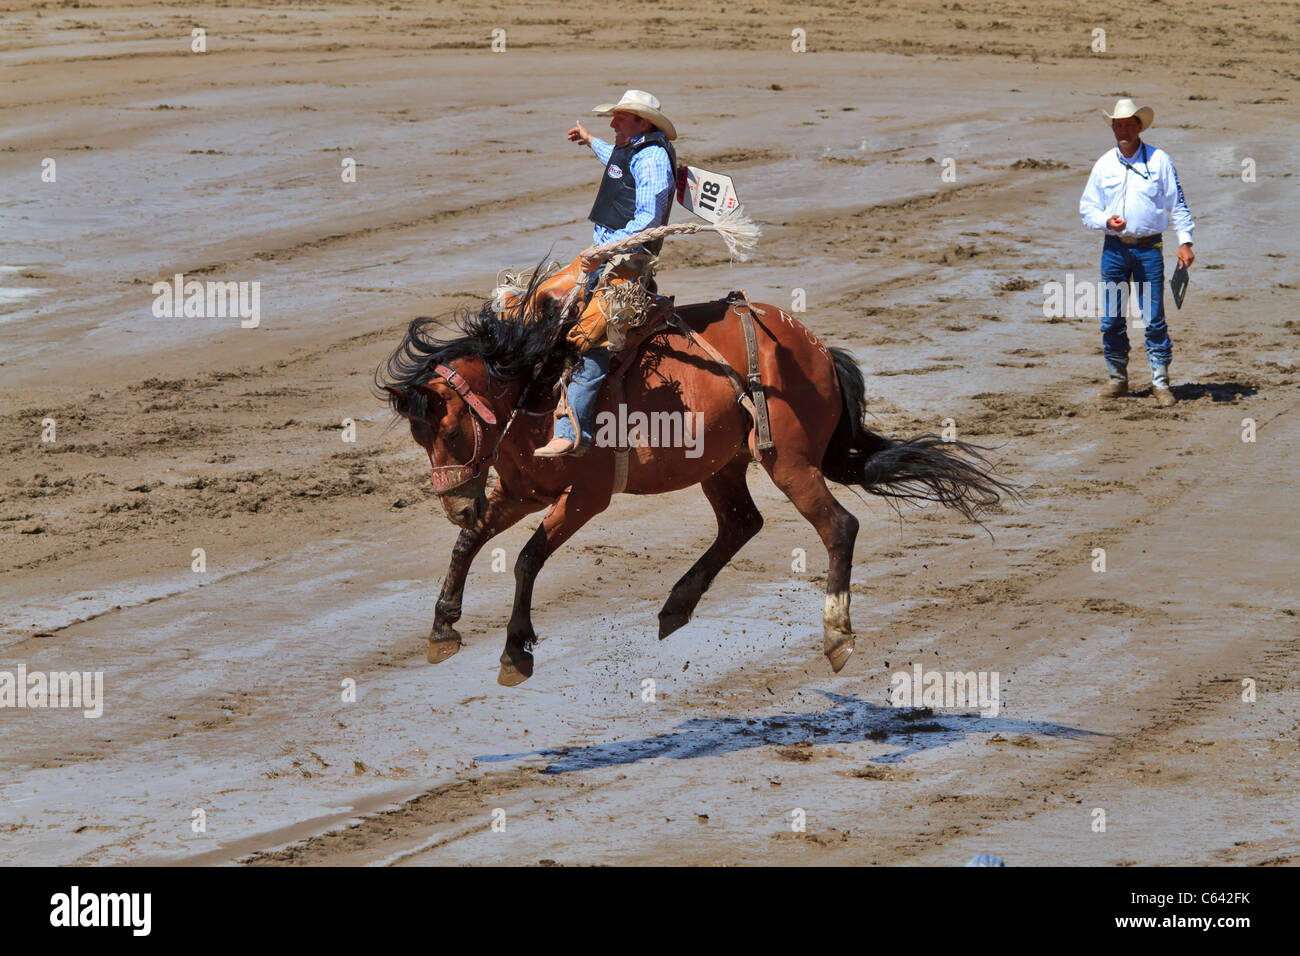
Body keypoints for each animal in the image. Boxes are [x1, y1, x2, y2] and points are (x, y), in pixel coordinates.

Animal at [377, 270, 1013, 686]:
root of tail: (815, 348)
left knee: (839, 526)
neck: (541, 380)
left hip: (788, 462)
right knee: (742, 524)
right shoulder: (519, 492)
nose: (455, 503)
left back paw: (836, 633)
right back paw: (676, 605)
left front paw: (515, 650)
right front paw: (443, 626)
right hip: (724, 465)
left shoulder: (584, 499)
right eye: (419, 438)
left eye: (450, 430)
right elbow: (470, 542)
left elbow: (529, 559)